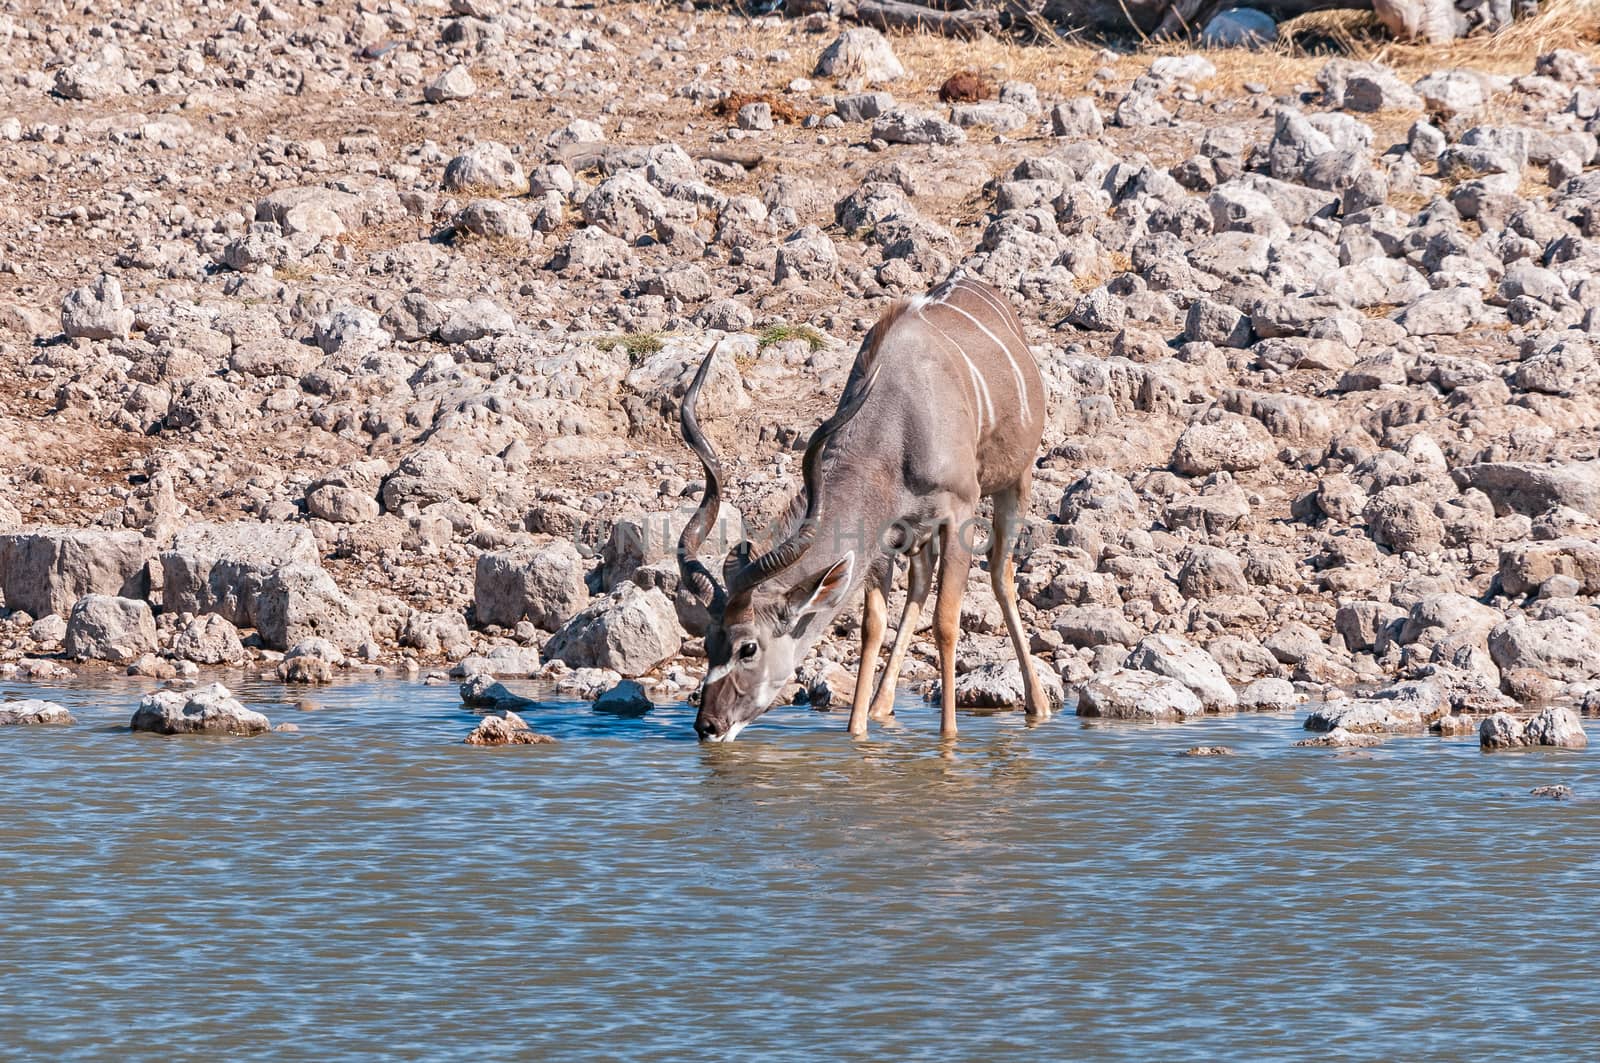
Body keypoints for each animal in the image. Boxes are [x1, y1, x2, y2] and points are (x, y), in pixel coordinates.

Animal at [675, 275, 1049, 739]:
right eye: (708, 642)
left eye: (748, 648)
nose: (708, 725)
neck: (899, 424)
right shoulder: (883, 538)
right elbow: (873, 627)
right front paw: (857, 732)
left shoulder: (958, 512)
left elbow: (946, 623)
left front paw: (948, 737)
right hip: (919, 535)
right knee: (920, 585)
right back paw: (880, 707)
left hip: (1015, 481)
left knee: (1000, 573)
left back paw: (1039, 704)